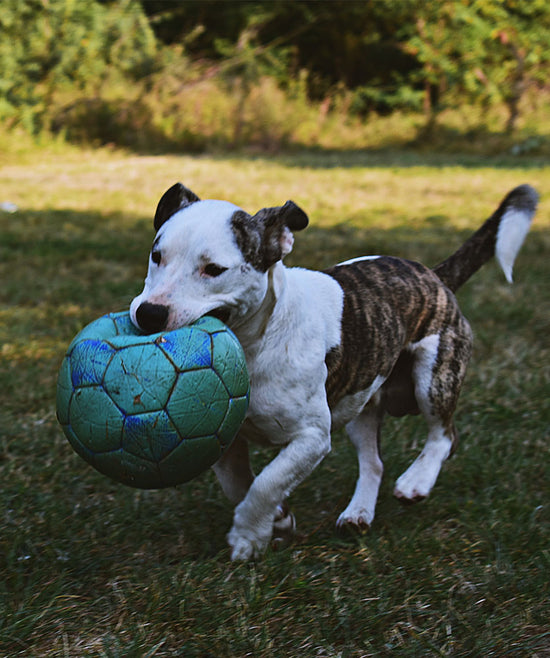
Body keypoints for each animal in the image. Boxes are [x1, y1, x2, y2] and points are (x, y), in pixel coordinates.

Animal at [130, 182, 540, 556]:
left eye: (214, 269)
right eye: (156, 255)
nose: (149, 313)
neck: (255, 343)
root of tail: (434, 276)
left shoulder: (311, 437)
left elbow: (266, 482)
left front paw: (248, 536)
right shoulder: (220, 436)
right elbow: (238, 483)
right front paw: (278, 518)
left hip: (435, 375)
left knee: (444, 434)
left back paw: (416, 481)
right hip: (362, 402)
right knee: (373, 462)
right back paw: (358, 513)